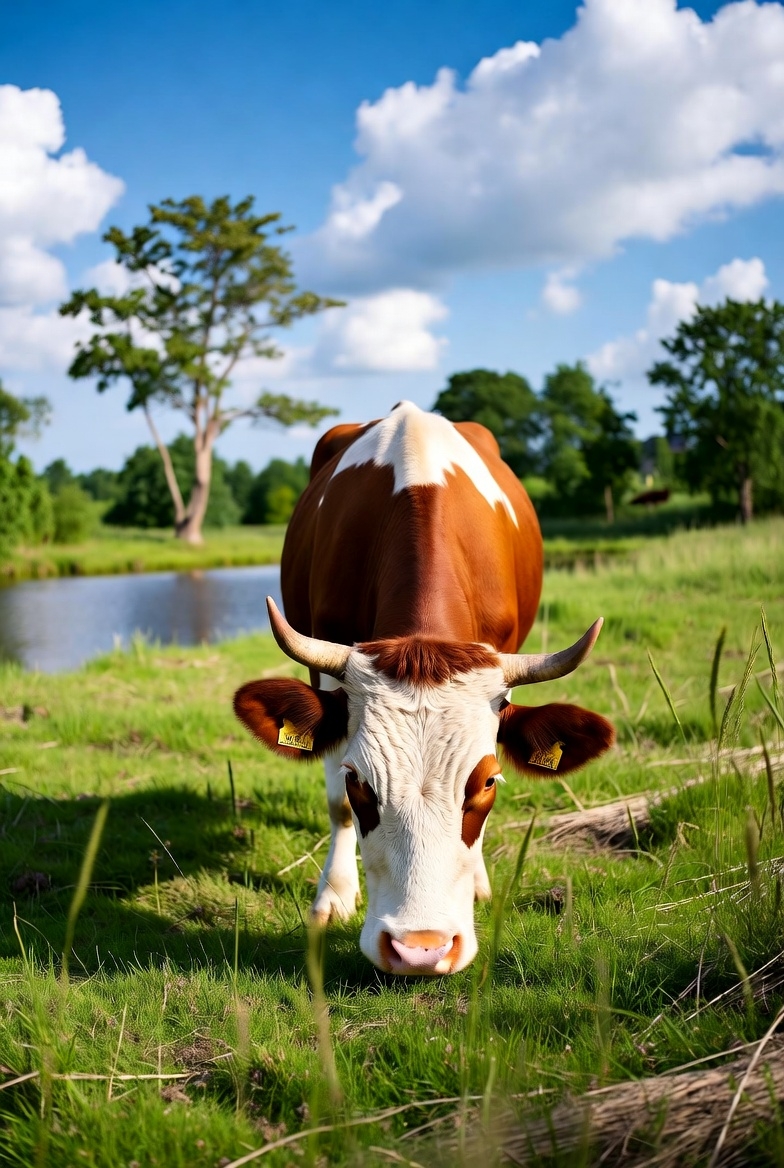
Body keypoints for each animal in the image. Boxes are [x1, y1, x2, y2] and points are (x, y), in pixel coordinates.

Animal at [234, 401, 614, 975]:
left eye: (487, 781)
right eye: (359, 782)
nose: (420, 948)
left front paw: (477, 881)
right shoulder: (326, 676)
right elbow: (335, 805)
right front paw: (334, 895)